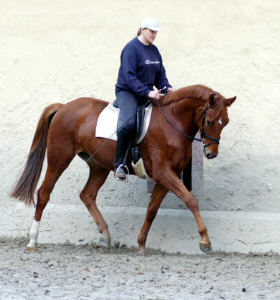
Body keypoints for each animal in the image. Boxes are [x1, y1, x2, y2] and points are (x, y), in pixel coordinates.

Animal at [9, 84, 235, 253]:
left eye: (225, 122)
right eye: (210, 121)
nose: (211, 154)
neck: (172, 123)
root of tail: (64, 106)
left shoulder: (164, 178)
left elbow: (152, 210)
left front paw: (141, 244)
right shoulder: (164, 173)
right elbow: (191, 200)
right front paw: (205, 241)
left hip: (98, 166)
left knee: (87, 195)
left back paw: (106, 236)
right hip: (59, 159)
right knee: (44, 193)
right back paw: (33, 240)